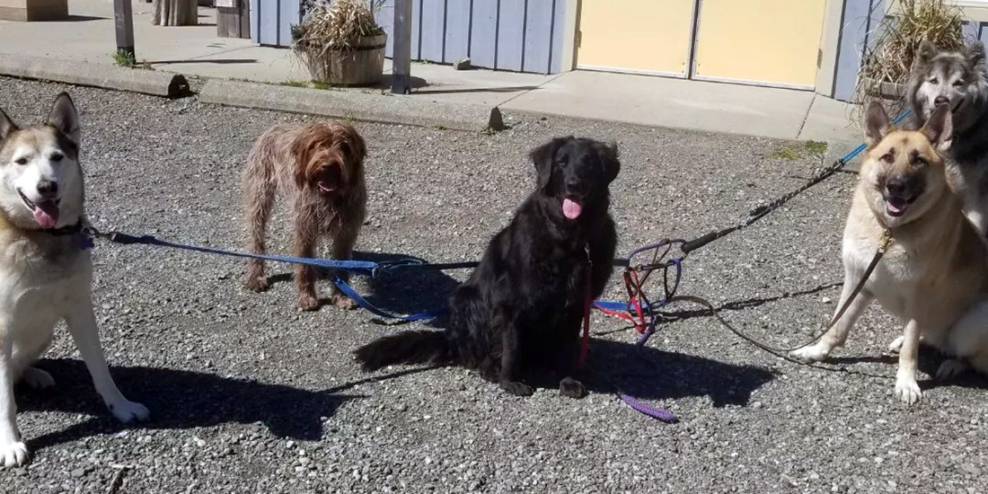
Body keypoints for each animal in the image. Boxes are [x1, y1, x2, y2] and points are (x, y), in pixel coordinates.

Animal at [244, 121, 370, 310]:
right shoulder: (303, 230)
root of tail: (276, 127)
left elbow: (341, 265)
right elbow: (304, 266)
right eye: (316, 145)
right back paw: (256, 275)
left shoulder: (346, 233)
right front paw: (307, 296)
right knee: (256, 236)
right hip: (259, 194)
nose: (328, 165)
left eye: (344, 146)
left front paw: (341, 296)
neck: (329, 197)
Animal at [354, 136, 616, 398]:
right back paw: (491, 369)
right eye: (561, 162)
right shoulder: (510, 302)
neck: (569, 237)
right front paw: (509, 381)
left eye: (589, 164)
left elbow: (567, 349)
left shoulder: (576, 305)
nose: (574, 185)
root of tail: (450, 338)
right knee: (479, 354)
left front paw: (568, 379)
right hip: (469, 302)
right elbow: (511, 347)